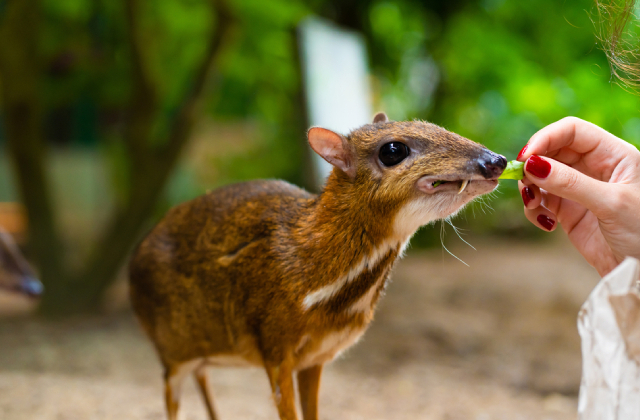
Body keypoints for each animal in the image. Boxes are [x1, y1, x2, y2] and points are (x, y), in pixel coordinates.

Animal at [130, 113, 508, 420]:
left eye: (437, 126)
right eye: (393, 151)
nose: (496, 160)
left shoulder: (315, 358)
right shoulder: (274, 346)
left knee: (202, 377)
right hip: (169, 352)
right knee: (173, 398)